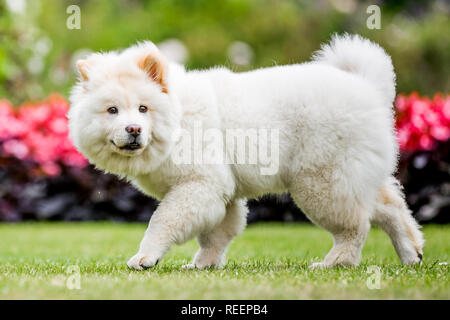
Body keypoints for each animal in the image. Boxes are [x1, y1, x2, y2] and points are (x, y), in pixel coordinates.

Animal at [68, 34, 424, 270]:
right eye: (112, 111)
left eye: (143, 109)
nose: (133, 129)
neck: (179, 119)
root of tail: (366, 87)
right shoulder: (221, 193)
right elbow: (216, 234)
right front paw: (203, 265)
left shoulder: (199, 185)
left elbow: (163, 222)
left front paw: (145, 257)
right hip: (355, 174)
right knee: (391, 206)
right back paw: (412, 253)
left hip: (321, 183)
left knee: (356, 225)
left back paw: (334, 263)